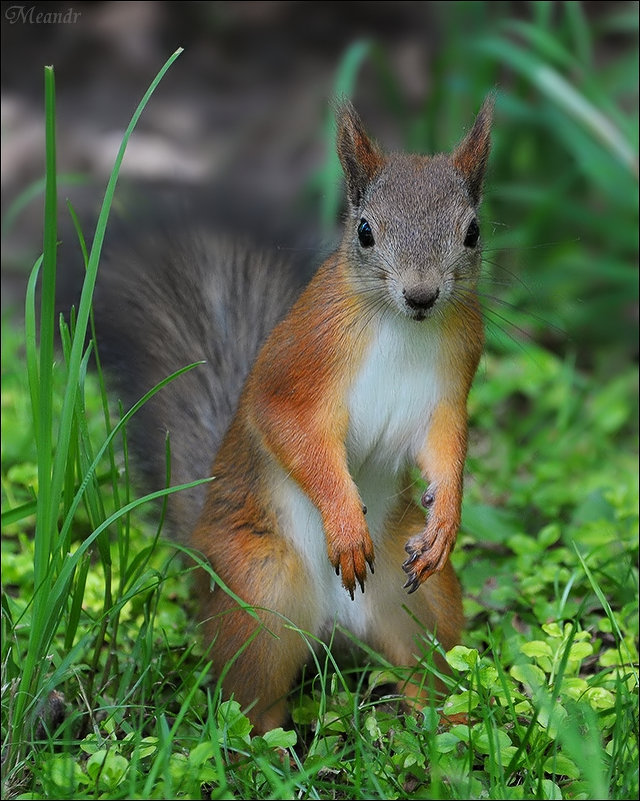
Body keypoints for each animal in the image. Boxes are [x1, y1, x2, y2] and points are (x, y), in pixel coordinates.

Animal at [92, 95, 492, 732]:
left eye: (472, 231)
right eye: (364, 231)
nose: (422, 295)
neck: (403, 327)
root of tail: (334, 626)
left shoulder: (451, 385)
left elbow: (445, 449)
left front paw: (446, 519)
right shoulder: (300, 363)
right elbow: (291, 431)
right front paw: (345, 524)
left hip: (422, 602)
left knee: (425, 669)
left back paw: (449, 727)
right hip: (260, 595)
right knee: (253, 696)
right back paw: (270, 742)